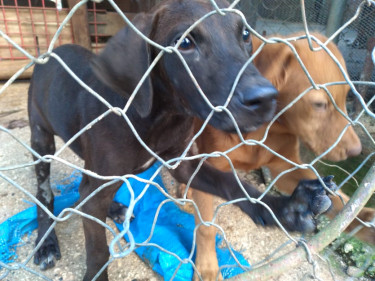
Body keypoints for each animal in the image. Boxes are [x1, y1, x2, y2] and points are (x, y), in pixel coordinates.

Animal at [28, 1, 332, 278]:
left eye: (245, 34)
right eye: (185, 42)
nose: (266, 98)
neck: (160, 116)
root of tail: (50, 53)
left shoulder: (183, 163)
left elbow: (230, 183)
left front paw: (285, 208)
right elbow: (98, 251)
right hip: (41, 139)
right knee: (46, 194)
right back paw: (46, 243)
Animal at [189, 32, 374, 280]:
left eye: (346, 97)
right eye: (319, 104)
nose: (356, 150)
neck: (264, 128)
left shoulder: (287, 168)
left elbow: (339, 199)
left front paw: (366, 219)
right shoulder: (212, 165)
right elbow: (206, 227)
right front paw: (207, 268)